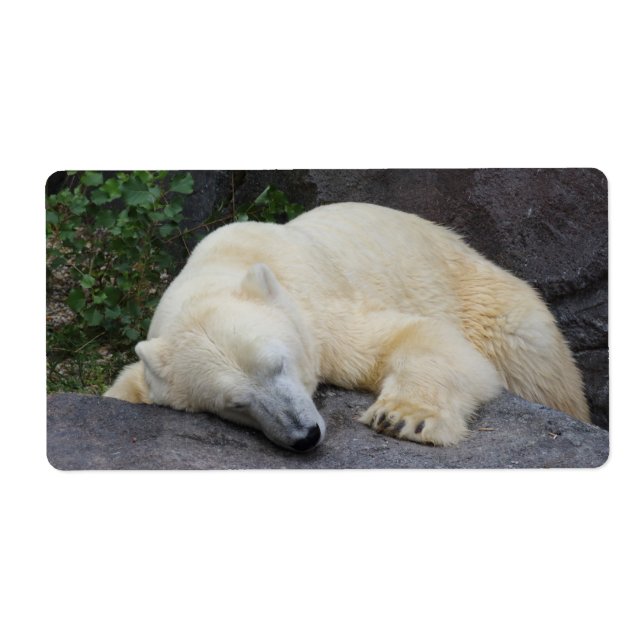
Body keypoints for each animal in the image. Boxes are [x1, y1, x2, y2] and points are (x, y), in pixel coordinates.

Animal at [104, 202, 590, 451]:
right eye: (234, 403)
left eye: (279, 364)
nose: (304, 436)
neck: (227, 262)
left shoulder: (319, 312)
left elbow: (416, 337)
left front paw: (402, 418)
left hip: (492, 302)